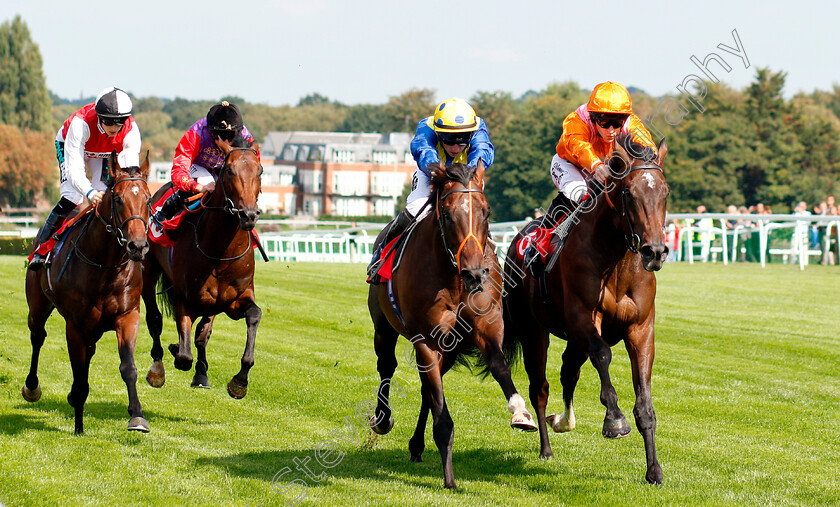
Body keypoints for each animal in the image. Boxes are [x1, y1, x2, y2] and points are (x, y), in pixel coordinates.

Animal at [23, 153, 153, 434]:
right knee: (38, 337)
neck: (104, 265)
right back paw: (32, 387)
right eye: (118, 199)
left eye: (148, 199)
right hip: (37, 306)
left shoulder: (128, 315)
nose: (137, 246)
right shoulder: (75, 325)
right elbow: (79, 371)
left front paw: (137, 416)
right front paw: (79, 426)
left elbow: (128, 366)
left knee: (88, 352)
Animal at [143, 140, 262, 400]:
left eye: (260, 171)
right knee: (154, 318)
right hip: (148, 270)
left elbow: (253, 315)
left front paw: (239, 381)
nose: (248, 214)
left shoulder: (234, 300)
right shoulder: (184, 298)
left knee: (202, 333)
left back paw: (201, 373)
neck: (220, 252)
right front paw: (176, 349)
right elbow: (183, 355)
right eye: (229, 171)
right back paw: (158, 368)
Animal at [370, 162, 540, 488]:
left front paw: (521, 413)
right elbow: (441, 411)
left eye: (486, 211)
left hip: (449, 349)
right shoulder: (425, 339)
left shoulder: (485, 327)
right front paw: (449, 477)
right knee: (387, 365)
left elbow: (499, 366)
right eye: (447, 215)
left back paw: (416, 445)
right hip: (383, 325)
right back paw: (383, 419)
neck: (454, 279)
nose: (475, 273)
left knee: (427, 388)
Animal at [502, 135, 672, 484]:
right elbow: (603, 355)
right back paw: (545, 446)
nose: (655, 251)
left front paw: (654, 470)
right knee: (540, 387)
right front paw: (615, 420)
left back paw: (563, 421)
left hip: (571, 340)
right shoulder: (583, 318)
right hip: (533, 331)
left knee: (569, 371)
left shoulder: (641, 328)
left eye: (664, 192)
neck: (617, 260)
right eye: (629, 192)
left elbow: (645, 402)